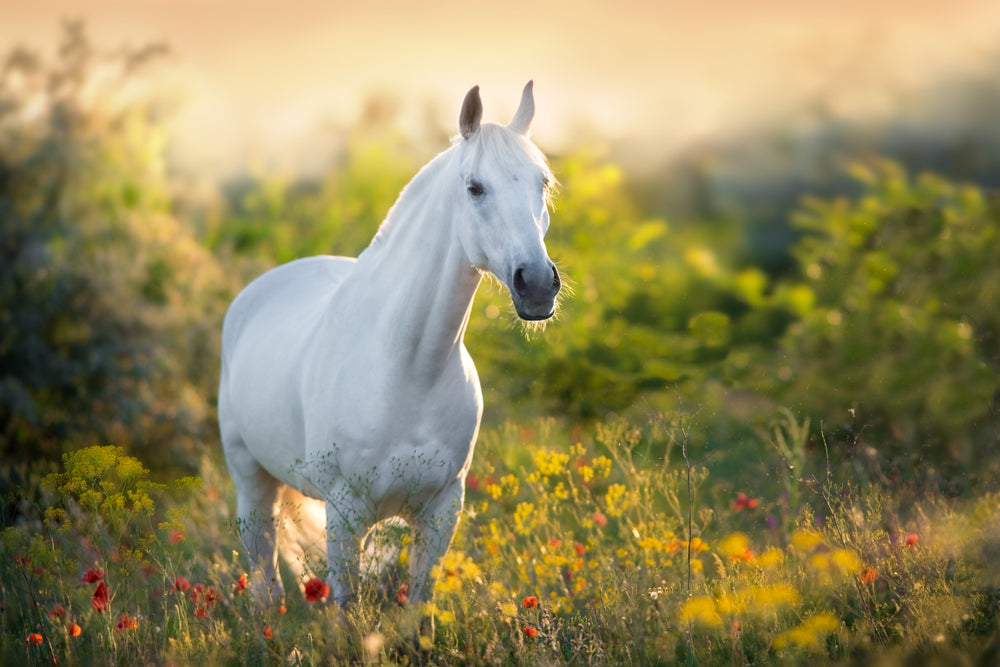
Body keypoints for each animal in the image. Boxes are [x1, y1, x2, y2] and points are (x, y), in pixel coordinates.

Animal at [219, 82, 560, 604]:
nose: (538, 284)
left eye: (542, 182)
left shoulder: (442, 512)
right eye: (475, 187)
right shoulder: (344, 513)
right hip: (252, 485)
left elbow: (418, 606)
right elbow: (345, 606)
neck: (410, 368)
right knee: (265, 580)